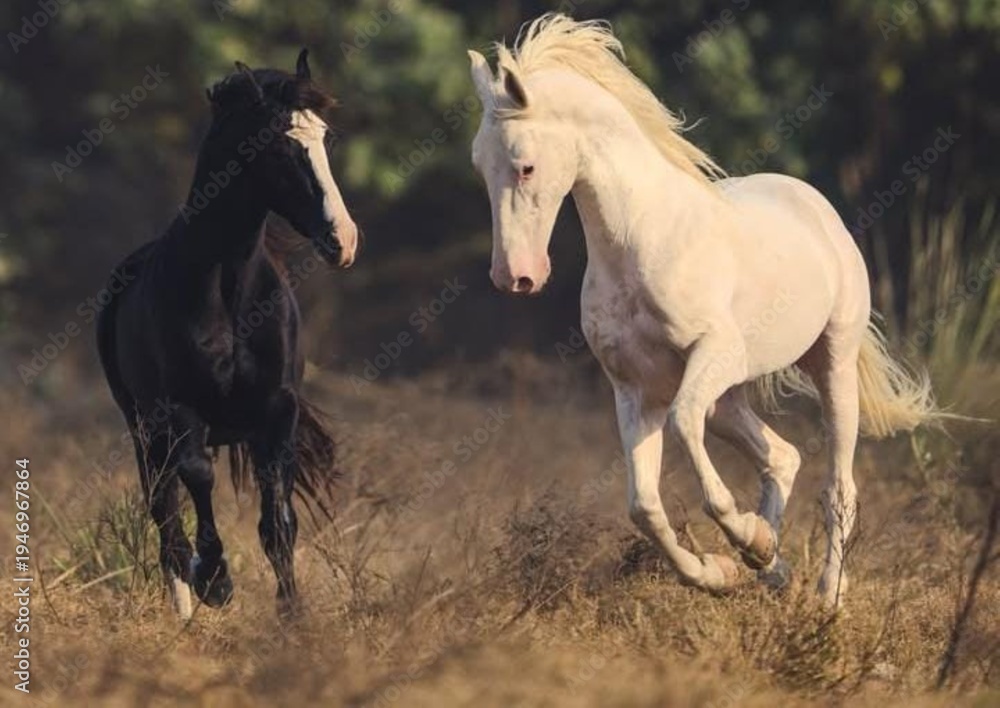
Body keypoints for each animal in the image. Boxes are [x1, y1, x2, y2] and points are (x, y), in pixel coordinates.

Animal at [97, 49, 359, 618]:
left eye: (325, 137)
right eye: (279, 148)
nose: (343, 240)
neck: (230, 293)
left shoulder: (277, 411)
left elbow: (278, 523)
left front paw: (292, 615)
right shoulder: (180, 410)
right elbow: (198, 481)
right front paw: (216, 581)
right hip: (144, 430)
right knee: (166, 516)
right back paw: (187, 606)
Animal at [468, 14, 941, 608]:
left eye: (526, 167)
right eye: (479, 167)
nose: (515, 277)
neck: (642, 240)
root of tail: (816, 206)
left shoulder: (712, 354)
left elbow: (686, 438)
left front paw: (746, 543)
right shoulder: (636, 389)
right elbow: (644, 506)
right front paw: (723, 569)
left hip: (829, 364)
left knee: (839, 485)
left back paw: (827, 594)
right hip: (727, 396)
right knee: (782, 457)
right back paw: (772, 568)